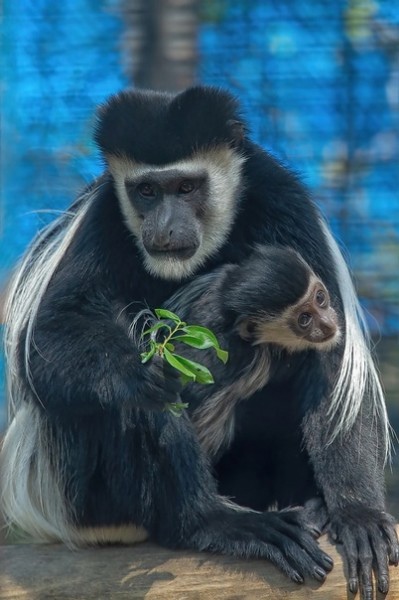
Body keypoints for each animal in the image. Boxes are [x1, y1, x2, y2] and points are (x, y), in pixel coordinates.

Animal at [0, 86, 396, 596]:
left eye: (187, 187)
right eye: (147, 191)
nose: (165, 226)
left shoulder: (284, 203)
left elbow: (331, 366)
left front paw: (358, 514)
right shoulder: (104, 214)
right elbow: (50, 335)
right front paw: (137, 373)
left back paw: (313, 508)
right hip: (82, 493)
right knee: (124, 392)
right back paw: (211, 522)